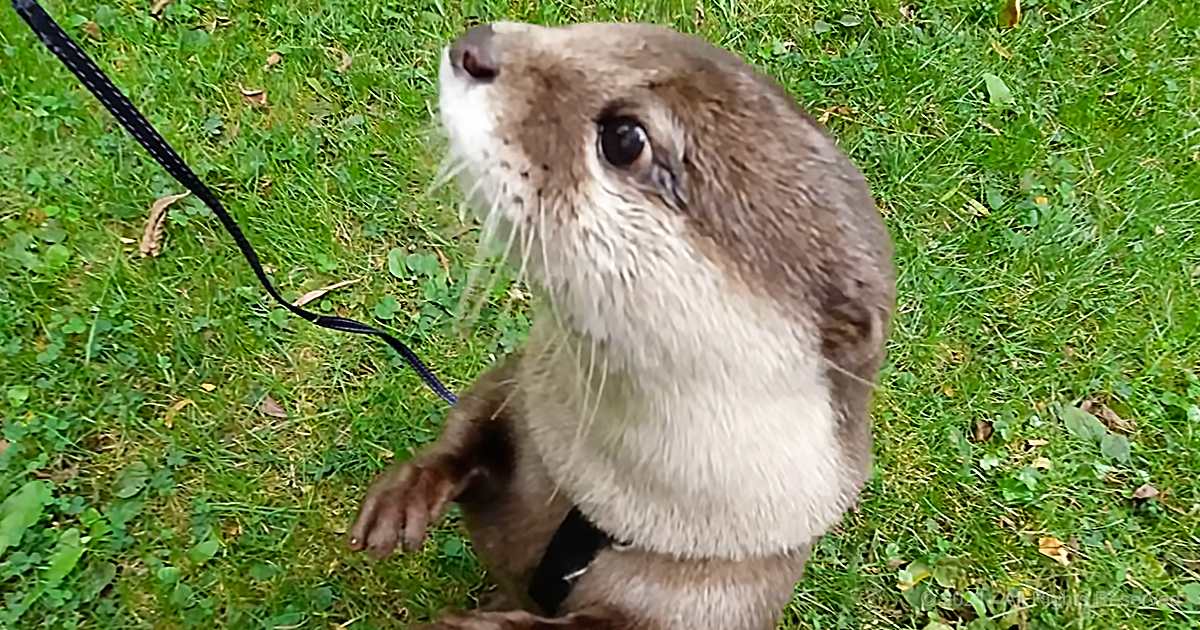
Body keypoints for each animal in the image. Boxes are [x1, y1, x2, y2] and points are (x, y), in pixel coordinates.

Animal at [348, 21, 896, 630]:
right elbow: (472, 418)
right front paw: (406, 494)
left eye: (625, 139)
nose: (476, 45)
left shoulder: (723, 592)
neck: (611, 503)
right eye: (583, 36)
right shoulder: (521, 393)